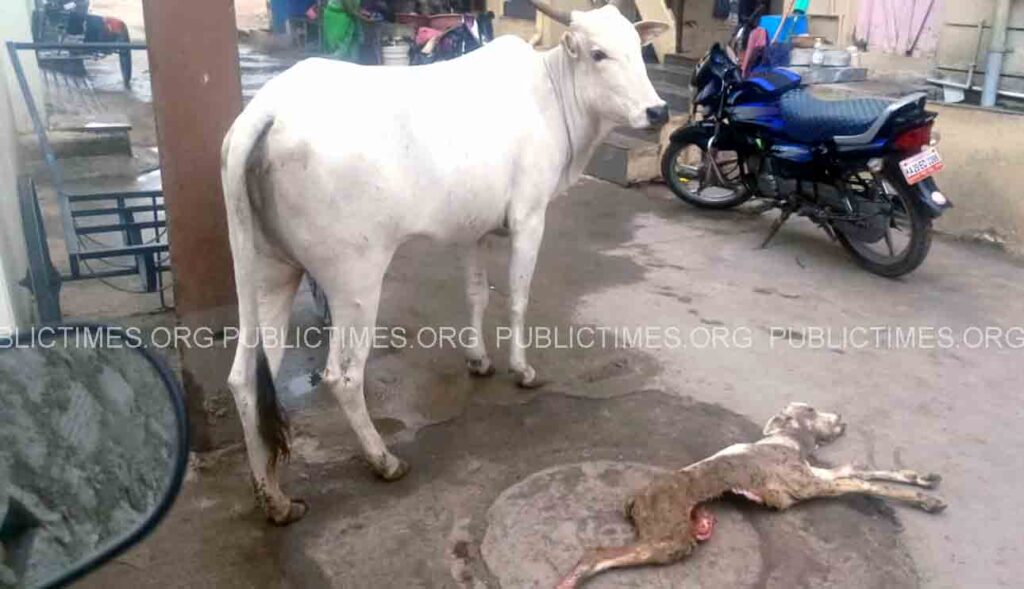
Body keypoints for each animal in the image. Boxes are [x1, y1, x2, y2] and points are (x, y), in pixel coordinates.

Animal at [222, 0, 671, 524]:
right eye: (598, 54)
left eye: (637, 47)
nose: (658, 111)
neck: (552, 93)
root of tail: (268, 109)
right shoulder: (529, 217)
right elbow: (517, 298)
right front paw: (522, 369)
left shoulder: (473, 228)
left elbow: (476, 294)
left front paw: (478, 359)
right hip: (355, 280)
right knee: (343, 375)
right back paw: (383, 460)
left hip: (270, 271)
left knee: (247, 379)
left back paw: (274, 497)